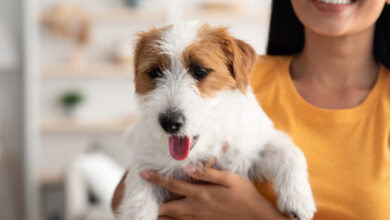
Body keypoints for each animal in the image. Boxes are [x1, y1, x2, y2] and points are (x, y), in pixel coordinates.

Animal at [117, 22, 316, 220]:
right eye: (155, 72)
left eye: (199, 71)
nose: (169, 122)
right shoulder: (145, 168)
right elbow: (138, 204)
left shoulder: (255, 144)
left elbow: (291, 152)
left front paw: (299, 200)